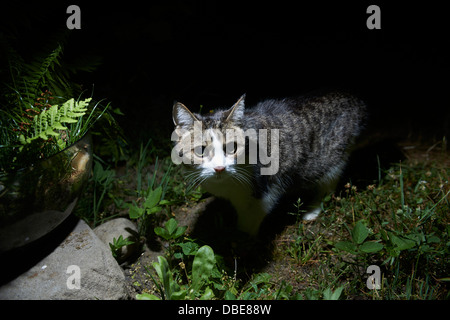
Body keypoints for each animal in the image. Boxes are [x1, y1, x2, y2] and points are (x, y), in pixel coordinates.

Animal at [171, 91, 366, 236]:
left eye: (232, 147)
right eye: (200, 150)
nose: (219, 168)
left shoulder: (268, 187)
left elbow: (252, 217)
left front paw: (240, 239)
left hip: (331, 157)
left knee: (328, 184)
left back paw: (313, 209)